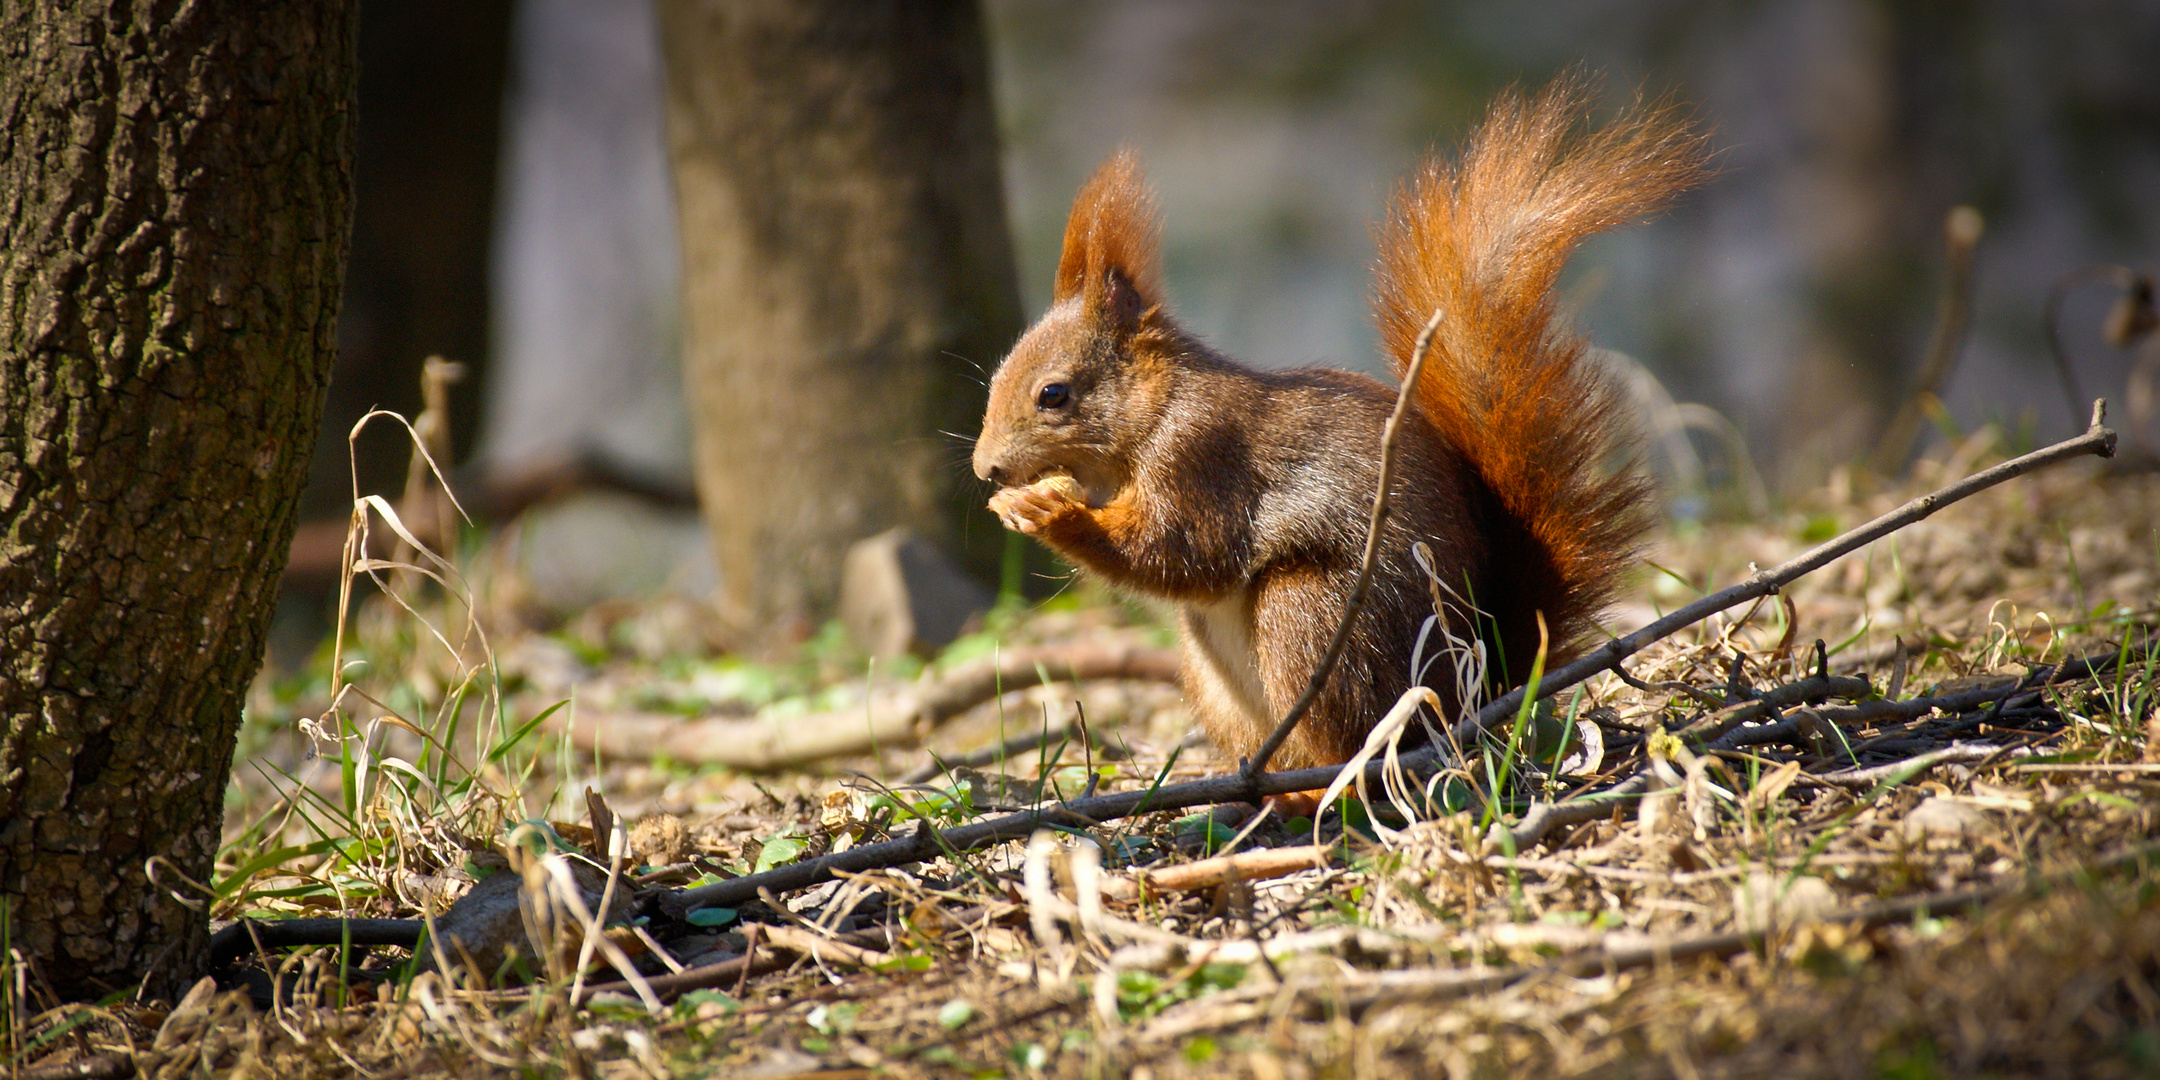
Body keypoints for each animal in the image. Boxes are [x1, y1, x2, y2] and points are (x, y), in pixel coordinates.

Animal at [976, 82, 1702, 777]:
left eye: (1053, 395)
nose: (986, 469)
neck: (1153, 413)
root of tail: (1471, 692)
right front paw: (1020, 504)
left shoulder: (1204, 456)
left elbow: (1182, 551)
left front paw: (1050, 513)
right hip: (1213, 675)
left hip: (1311, 620)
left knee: (1353, 743)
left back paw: (1314, 786)